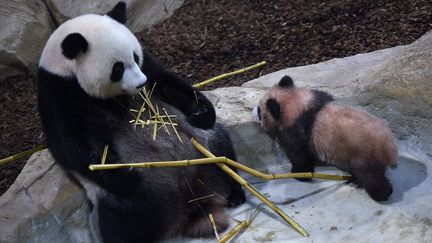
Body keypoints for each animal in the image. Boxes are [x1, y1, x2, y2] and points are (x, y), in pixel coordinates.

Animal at [35, 2, 245, 243]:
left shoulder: (149, 65)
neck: (64, 69)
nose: (140, 83)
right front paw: (126, 175)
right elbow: (74, 146)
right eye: (117, 68)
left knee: (222, 150)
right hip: (125, 200)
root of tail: (191, 204)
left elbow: (166, 81)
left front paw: (201, 110)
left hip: (202, 149)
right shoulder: (58, 95)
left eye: (135, 57)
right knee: (120, 224)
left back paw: (235, 193)